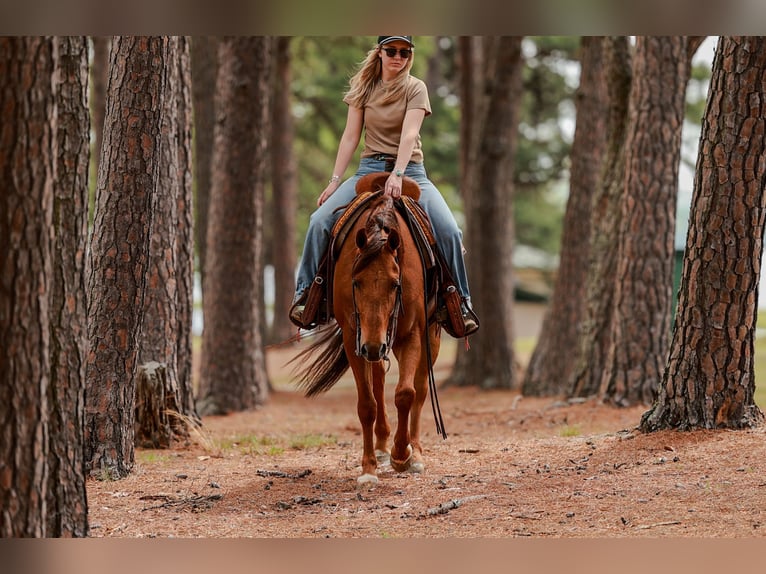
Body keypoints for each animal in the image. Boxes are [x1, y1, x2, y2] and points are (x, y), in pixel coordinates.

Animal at [292, 172, 442, 487]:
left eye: (395, 284)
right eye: (356, 282)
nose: (372, 347)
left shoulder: (412, 333)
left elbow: (406, 393)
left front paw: (402, 455)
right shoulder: (354, 337)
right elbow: (367, 404)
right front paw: (369, 467)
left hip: (425, 337)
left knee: (421, 387)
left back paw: (415, 453)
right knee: (379, 379)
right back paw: (383, 446)